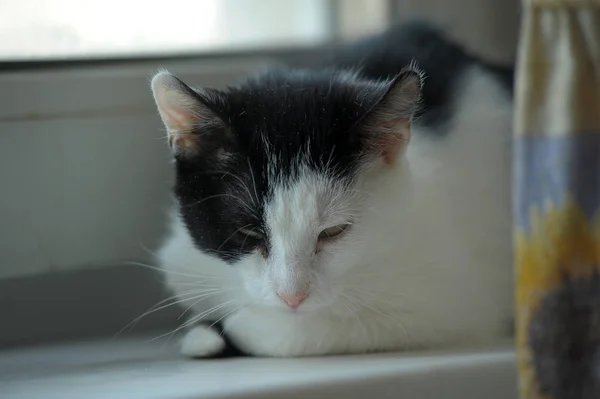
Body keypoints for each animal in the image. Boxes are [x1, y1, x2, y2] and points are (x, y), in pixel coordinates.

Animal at [152, 21, 512, 360]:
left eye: (334, 231)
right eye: (247, 232)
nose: (292, 297)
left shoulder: (451, 301)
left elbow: (307, 331)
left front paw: (238, 326)